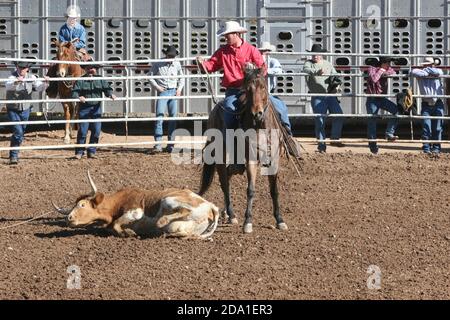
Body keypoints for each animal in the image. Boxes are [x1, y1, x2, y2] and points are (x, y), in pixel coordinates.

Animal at [198, 66, 288, 234]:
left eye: (263, 87)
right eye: (247, 89)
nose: (256, 113)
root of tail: (215, 110)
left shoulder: (274, 160)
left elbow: (274, 190)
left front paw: (280, 220)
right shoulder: (250, 160)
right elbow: (250, 190)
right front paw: (248, 222)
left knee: (228, 174)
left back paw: (227, 214)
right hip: (220, 155)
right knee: (224, 182)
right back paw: (232, 215)